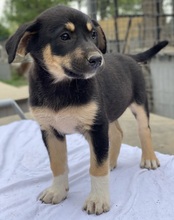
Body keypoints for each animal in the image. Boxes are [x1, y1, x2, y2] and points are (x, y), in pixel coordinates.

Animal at [5, 4, 169, 215]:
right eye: (64, 36)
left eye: (93, 35)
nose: (98, 60)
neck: (61, 86)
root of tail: (129, 56)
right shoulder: (50, 131)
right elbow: (57, 164)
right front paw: (57, 191)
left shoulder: (97, 127)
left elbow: (96, 168)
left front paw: (98, 199)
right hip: (109, 111)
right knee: (117, 133)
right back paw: (110, 161)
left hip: (139, 103)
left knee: (144, 130)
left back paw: (148, 158)